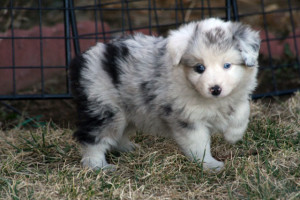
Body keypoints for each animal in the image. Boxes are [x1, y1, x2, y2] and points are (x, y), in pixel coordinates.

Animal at [69, 18, 260, 170]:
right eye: (199, 68)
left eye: (227, 65)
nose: (215, 89)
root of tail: (84, 57)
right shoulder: (187, 119)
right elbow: (199, 144)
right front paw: (210, 165)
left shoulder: (237, 96)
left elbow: (243, 110)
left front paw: (234, 135)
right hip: (106, 109)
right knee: (92, 138)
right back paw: (98, 166)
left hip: (131, 109)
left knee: (119, 134)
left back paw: (129, 148)